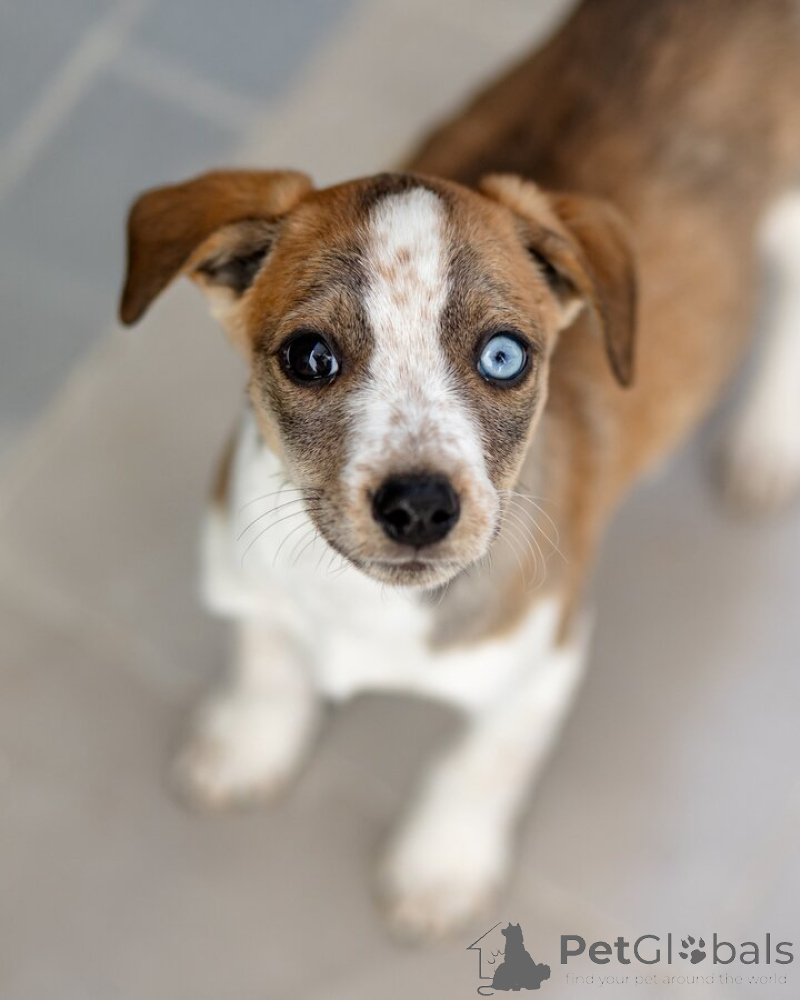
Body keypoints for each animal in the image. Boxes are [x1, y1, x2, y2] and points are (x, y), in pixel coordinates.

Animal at [119, 0, 800, 939]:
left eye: (505, 356)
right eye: (309, 357)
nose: (419, 507)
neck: (363, 604)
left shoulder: (544, 668)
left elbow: (476, 769)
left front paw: (440, 867)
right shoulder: (245, 575)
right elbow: (267, 660)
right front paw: (250, 743)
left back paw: (770, 439)